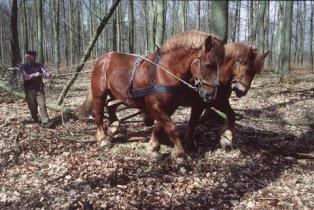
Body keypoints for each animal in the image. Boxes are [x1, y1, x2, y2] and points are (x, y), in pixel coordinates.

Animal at [91, 31, 226, 162]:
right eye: (208, 64)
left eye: (220, 64)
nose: (210, 94)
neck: (165, 72)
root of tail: (102, 59)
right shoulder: (154, 106)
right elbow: (173, 128)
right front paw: (178, 154)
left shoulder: (169, 107)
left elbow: (159, 127)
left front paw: (153, 148)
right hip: (99, 94)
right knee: (98, 112)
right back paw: (102, 139)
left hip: (120, 95)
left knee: (111, 106)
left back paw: (113, 127)